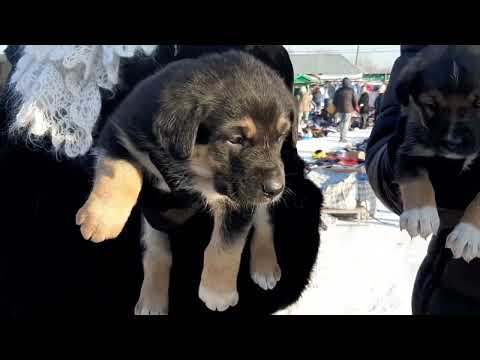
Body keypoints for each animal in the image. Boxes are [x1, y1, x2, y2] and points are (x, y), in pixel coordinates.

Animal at [75, 50, 296, 312]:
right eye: (235, 139)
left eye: (281, 136)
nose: (276, 189)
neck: (193, 167)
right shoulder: (121, 128)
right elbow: (117, 169)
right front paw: (100, 219)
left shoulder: (239, 199)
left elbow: (226, 246)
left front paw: (217, 292)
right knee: (155, 250)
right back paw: (152, 299)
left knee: (265, 221)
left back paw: (264, 264)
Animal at [396, 46, 480, 262]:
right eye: (431, 105)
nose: (453, 143)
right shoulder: (410, 147)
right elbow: (415, 175)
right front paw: (420, 214)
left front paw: (469, 235)